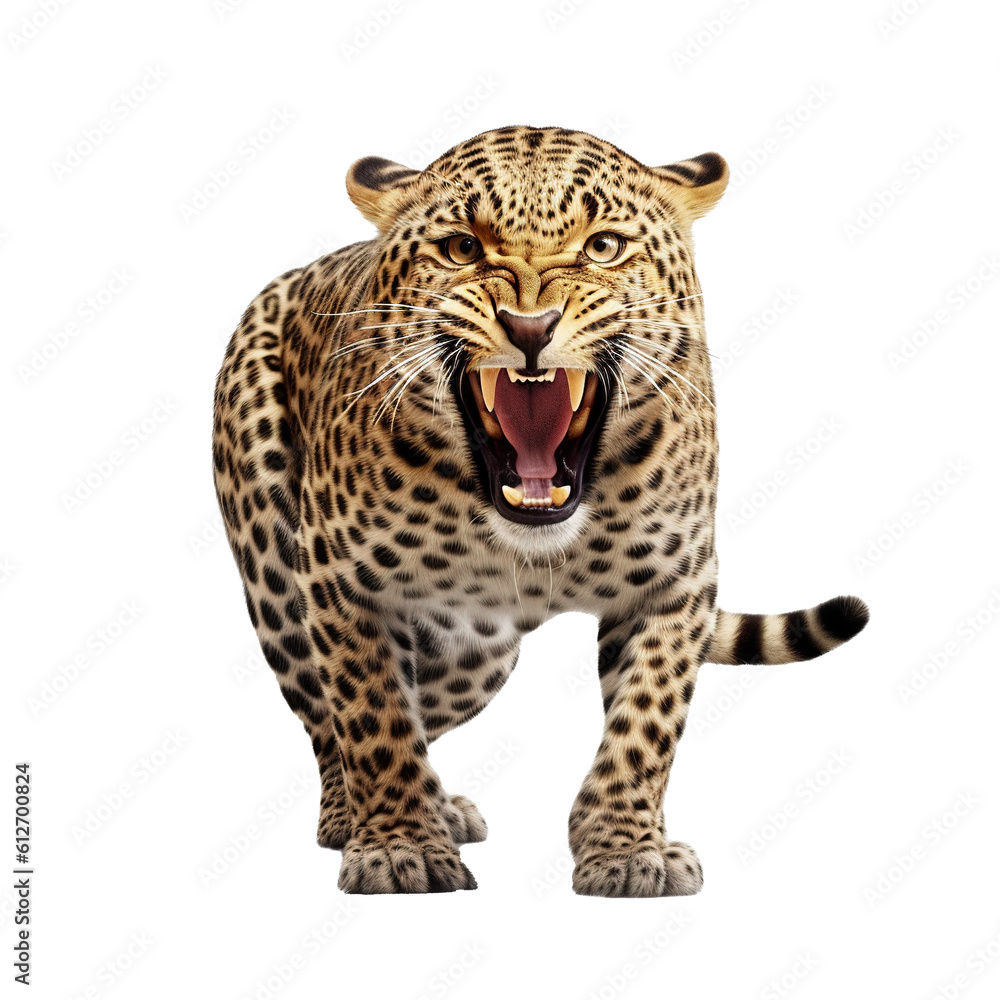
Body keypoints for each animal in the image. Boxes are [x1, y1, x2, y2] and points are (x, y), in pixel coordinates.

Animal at [212, 125, 869, 896]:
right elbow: (371, 715)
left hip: (476, 655)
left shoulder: (677, 584)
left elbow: (646, 721)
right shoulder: (341, 581)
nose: (530, 325)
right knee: (326, 716)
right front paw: (401, 847)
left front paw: (626, 848)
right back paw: (356, 814)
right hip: (277, 577)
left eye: (603, 246)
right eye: (462, 248)